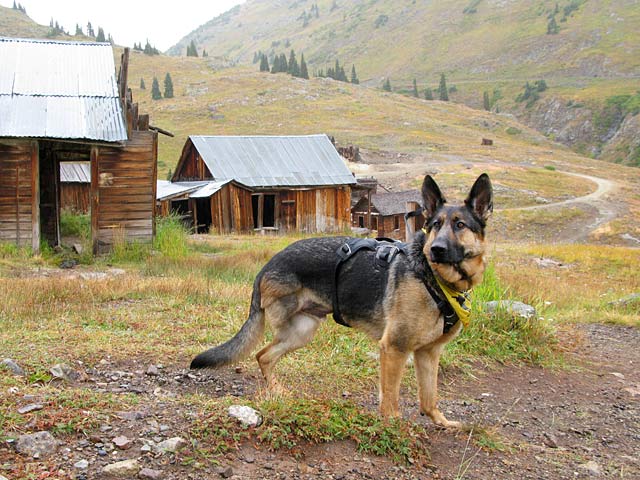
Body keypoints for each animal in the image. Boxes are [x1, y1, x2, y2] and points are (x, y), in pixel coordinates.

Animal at [192, 173, 492, 428]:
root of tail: (267, 266)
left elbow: (429, 397)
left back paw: (278, 392)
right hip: (296, 328)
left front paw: (441, 421)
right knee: (263, 354)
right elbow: (390, 399)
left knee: (263, 356)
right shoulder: (394, 348)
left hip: (301, 332)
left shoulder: (428, 353)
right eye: (435, 225)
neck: (434, 279)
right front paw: (393, 428)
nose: (436, 250)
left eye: (460, 225)